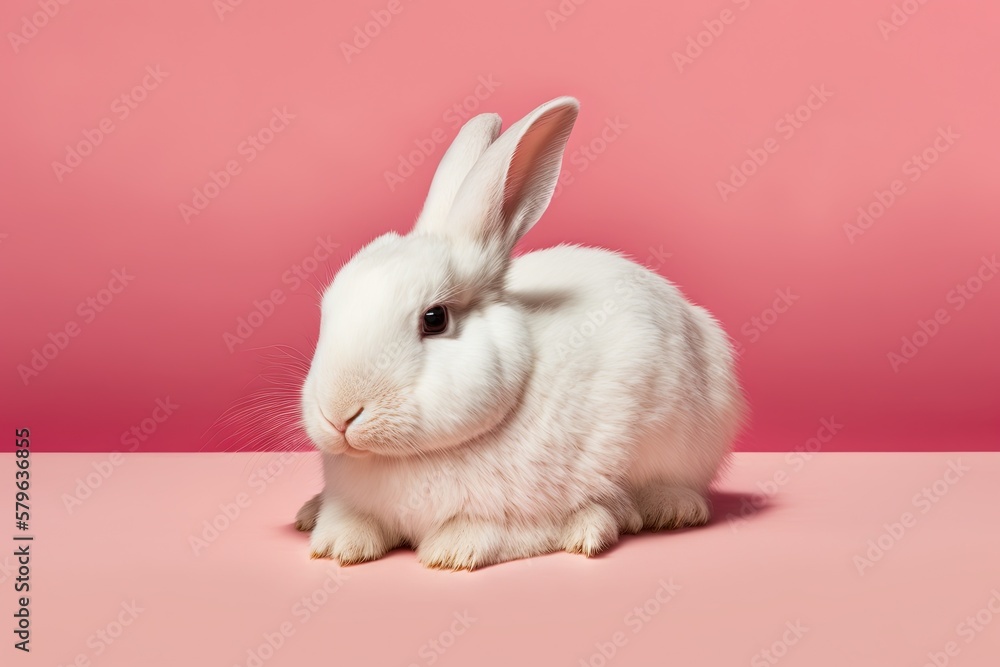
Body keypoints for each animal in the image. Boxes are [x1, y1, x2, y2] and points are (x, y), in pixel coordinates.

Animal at [292, 96, 748, 572]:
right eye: (328, 309)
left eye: (434, 319)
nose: (339, 415)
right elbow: (350, 519)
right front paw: (338, 544)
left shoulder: (522, 516)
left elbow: (498, 531)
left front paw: (452, 552)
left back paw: (656, 511)